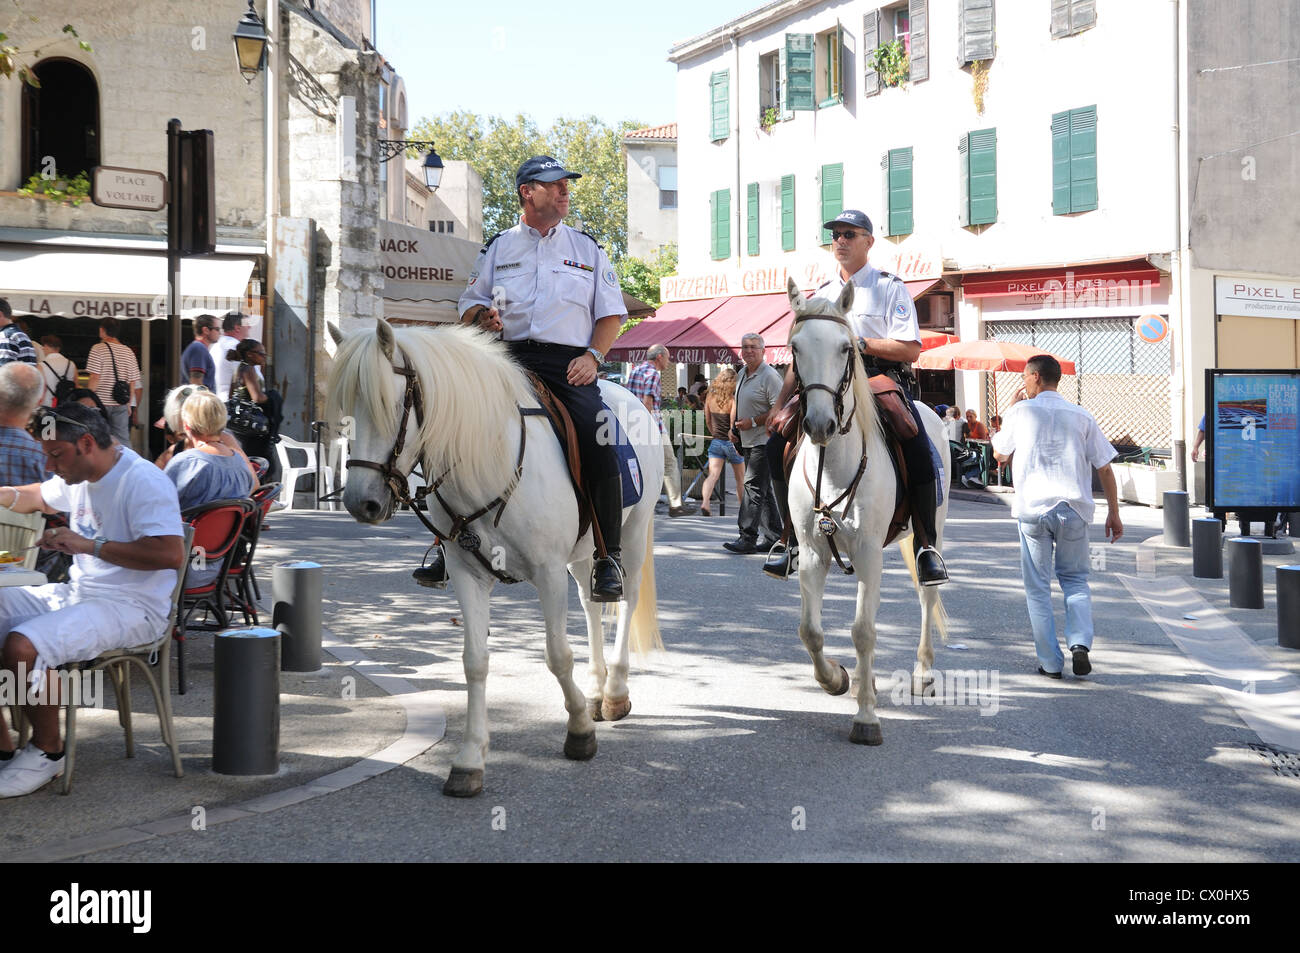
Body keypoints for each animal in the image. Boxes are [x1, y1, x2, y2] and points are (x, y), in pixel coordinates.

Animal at [330, 319, 665, 795]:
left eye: (391, 405)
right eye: (347, 408)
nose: (362, 503)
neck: (488, 460)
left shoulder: (548, 572)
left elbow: (557, 655)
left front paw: (579, 731)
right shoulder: (467, 574)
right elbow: (475, 662)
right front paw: (470, 758)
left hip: (633, 533)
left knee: (627, 597)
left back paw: (615, 692)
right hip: (585, 552)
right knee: (591, 602)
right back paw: (597, 690)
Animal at [780, 275, 956, 743]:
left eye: (846, 347)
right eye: (795, 348)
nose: (819, 424)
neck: (834, 466)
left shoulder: (869, 553)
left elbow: (863, 631)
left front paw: (866, 718)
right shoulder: (812, 553)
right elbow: (810, 631)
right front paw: (836, 679)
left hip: (932, 529)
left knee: (927, 594)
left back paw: (923, 673)